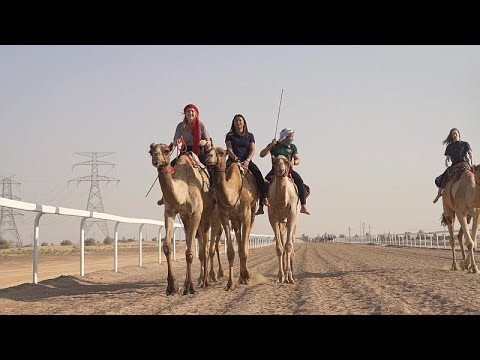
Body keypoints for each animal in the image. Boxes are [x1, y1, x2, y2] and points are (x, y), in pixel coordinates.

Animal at [149, 143, 215, 296]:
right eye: (151, 151)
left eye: (166, 151)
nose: (156, 160)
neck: (183, 192)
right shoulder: (170, 212)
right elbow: (167, 246)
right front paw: (172, 287)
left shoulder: (196, 213)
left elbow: (190, 252)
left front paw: (190, 288)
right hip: (187, 220)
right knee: (200, 246)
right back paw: (195, 281)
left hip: (206, 215)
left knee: (205, 247)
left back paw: (205, 281)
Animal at [205, 146, 260, 290]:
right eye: (208, 150)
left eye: (221, 153)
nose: (208, 157)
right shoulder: (225, 217)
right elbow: (231, 251)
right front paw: (230, 284)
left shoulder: (245, 215)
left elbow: (244, 249)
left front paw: (247, 274)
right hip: (235, 220)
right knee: (239, 242)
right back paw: (240, 277)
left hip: (251, 212)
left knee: (244, 242)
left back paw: (245, 275)